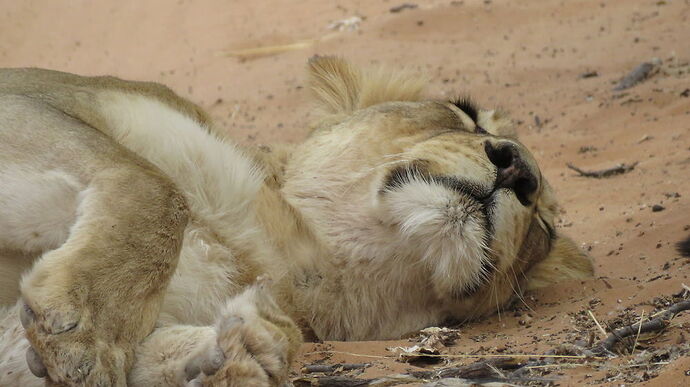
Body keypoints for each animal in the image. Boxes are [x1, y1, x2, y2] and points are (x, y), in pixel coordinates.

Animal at [0, 56, 592, 386]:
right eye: (464, 112)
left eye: (543, 230)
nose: (519, 170)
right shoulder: (28, 99)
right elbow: (158, 189)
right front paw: (86, 330)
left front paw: (237, 353)